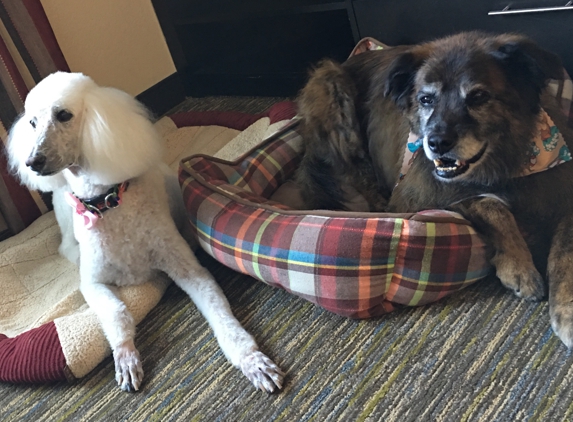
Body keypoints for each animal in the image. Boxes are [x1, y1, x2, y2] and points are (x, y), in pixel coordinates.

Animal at [7, 72, 284, 392]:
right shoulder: (92, 283)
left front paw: (251, 360)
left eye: (63, 114)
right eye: (32, 123)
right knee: (67, 248)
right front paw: (125, 354)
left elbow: (221, 313)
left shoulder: (189, 270)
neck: (107, 201)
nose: (32, 162)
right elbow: (116, 311)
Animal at [294, 33, 573, 348]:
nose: (436, 143)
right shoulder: (416, 197)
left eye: (478, 97)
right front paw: (520, 268)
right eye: (426, 99)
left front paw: (567, 313)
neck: (503, 165)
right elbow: (490, 204)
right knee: (359, 172)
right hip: (330, 85)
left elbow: (564, 254)